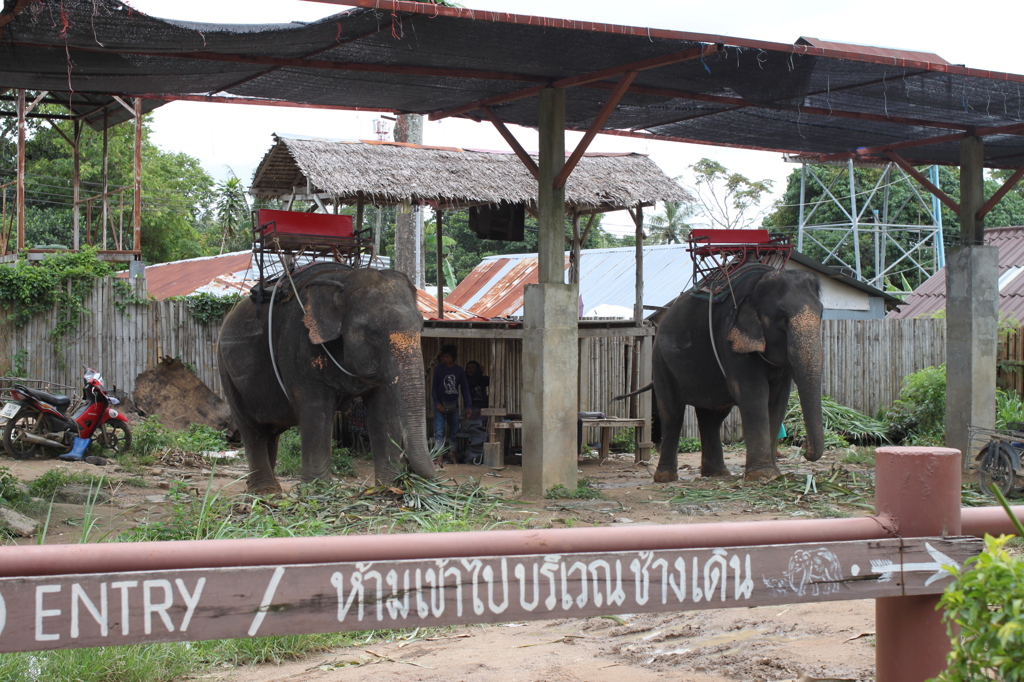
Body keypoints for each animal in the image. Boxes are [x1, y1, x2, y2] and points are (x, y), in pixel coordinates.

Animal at [218, 260, 434, 489]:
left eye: (421, 327)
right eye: (373, 332)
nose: (410, 469)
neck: (342, 280)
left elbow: (384, 410)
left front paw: (389, 487)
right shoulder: (298, 349)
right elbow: (316, 409)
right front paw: (317, 489)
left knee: (270, 431)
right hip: (226, 371)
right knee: (252, 430)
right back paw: (267, 491)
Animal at [651, 262, 827, 481]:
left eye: (821, 313)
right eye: (781, 316)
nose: (804, 451)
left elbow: (778, 400)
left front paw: (775, 475)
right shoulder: (730, 341)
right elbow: (754, 394)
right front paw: (763, 475)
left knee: (712, 417)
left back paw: (716, 474)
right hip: (661, 361)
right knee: (672, 414)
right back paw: (666, 478)